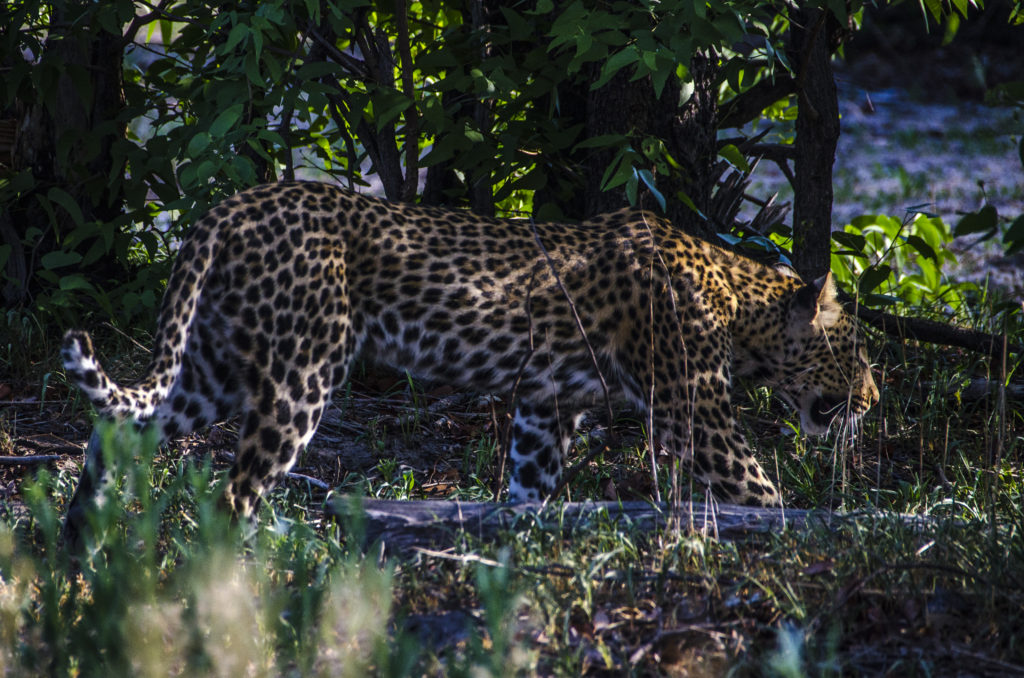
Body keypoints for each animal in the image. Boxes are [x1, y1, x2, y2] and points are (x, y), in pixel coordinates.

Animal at [59, 182, 880, 536]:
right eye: (858, 350)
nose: (873, 401)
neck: (740, 303)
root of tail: (232, 204)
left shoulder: (546, 409)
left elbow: (528, 487)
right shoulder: (698, 415)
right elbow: (762, 492)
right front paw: (796, 531)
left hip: (212, 370)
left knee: (117, 432)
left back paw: (79, 552)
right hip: (300, 376)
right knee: (234, 493)